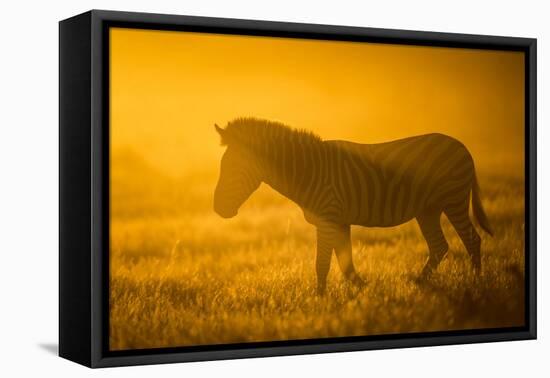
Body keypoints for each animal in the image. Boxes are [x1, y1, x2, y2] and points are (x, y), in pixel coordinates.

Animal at [213, 116, 494, 294]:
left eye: (231, 168)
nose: (217, 209)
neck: (309, 171)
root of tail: (462, 146)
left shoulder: (328, 218)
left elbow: (323, 263)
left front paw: (320, 299)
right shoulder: (339, 220)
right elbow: (345, 263)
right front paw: (362, 290)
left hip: (453, 199)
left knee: (472, 240)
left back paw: (476, 283)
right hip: (428, 209)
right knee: (439, 246)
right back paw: (419, 283)